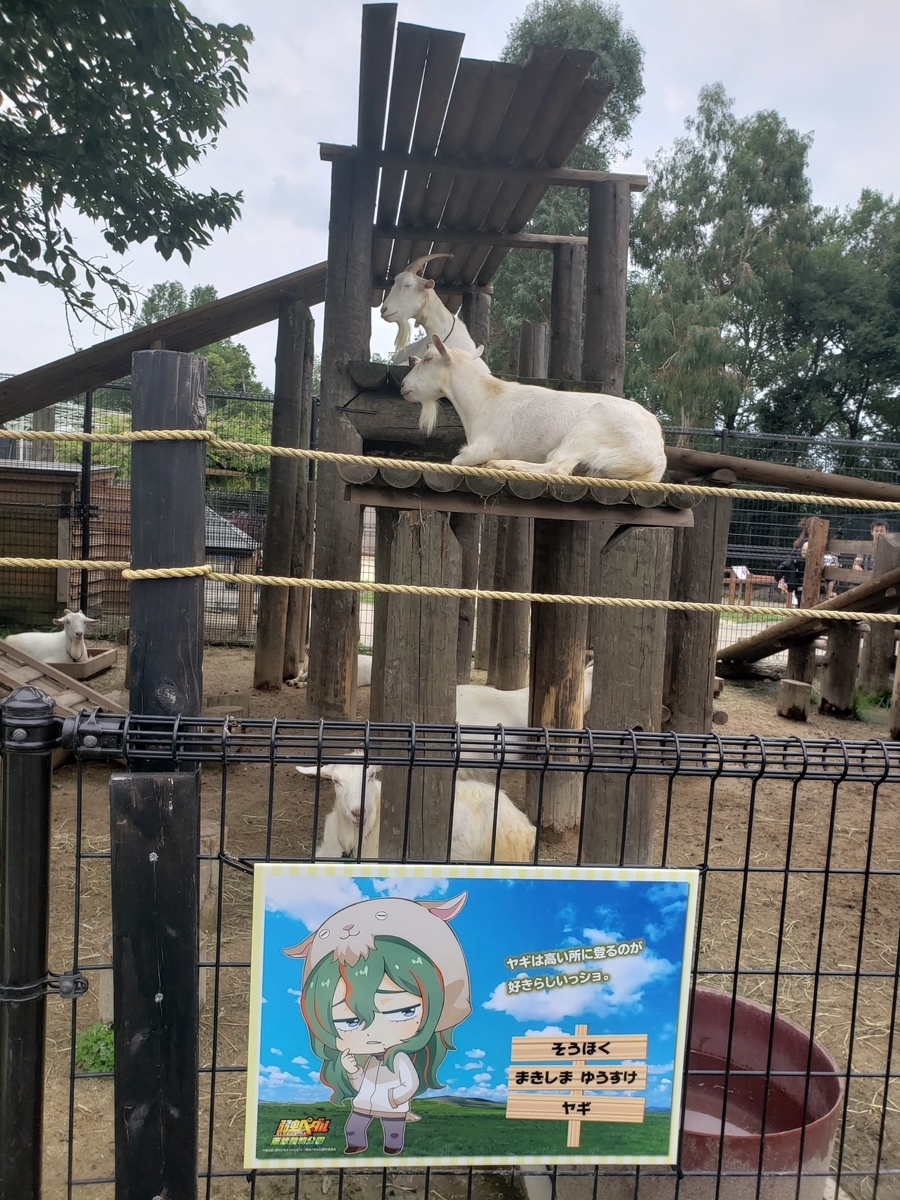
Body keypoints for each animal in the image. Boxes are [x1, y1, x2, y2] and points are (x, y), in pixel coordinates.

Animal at [400, 333, 672, 482]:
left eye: (428, 359)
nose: (403, 386)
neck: (484, 400)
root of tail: (658, 453)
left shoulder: (483, 446)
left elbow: (458, 459)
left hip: (589, 428)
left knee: (557, 466)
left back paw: (502, 465)